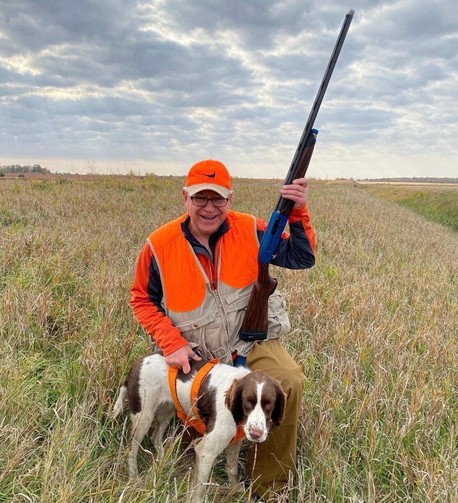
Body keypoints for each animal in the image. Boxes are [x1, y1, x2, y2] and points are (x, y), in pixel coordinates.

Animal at [112, 354, 284, 503]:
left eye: (269, 404)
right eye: (247, 402)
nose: (256, 434)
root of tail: (138, 363)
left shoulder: (235, 442)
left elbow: (232, 469)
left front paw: (234, 490)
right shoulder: (205, 451)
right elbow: (200, 486)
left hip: (168, 409)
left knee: (155, 437)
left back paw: (163, 461)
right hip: (143, 416)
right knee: (131, 449)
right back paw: (134, 478)